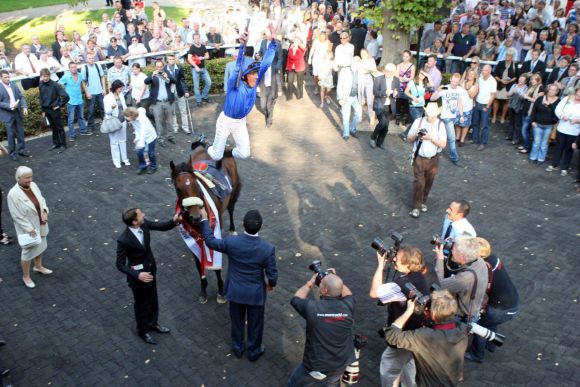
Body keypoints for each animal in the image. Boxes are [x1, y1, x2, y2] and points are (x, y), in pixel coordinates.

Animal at [169, 144, 241, 304]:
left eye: (196, 184)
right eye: (178, 189)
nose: (196, 216)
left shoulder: (214, 232)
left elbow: (216, 263)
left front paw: (221, 290)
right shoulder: (193, 237)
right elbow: (198, 263)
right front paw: (203, 289)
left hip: (234, 193)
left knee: (231, 209)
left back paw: (232, 228)